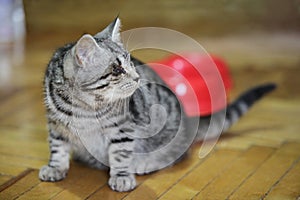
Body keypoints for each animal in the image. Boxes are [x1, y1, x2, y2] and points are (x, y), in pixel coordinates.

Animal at [39, 17, 276, 192]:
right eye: (117, 69)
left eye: (131, 63)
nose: (137, 78)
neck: (85, 106)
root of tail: (189, 120)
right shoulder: (55, 125)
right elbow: (58, 148)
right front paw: (55, 168)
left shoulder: (123, 128)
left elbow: (120, 153)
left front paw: (122, 175)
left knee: (176, 154)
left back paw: (145, 163)